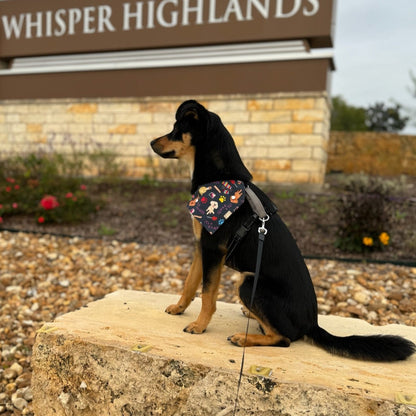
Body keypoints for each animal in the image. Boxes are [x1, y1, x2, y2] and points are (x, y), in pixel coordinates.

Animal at [151, 100, 414, 360]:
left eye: (176, 129)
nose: (151, 143)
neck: (220, 181)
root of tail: (311, 324)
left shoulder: (213, 250)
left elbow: (207, 293)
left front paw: (200, 325)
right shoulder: (201, 247)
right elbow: (190, 283)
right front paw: (179, 308)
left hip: (248, 281)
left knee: (283, 339)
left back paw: (244, 337)